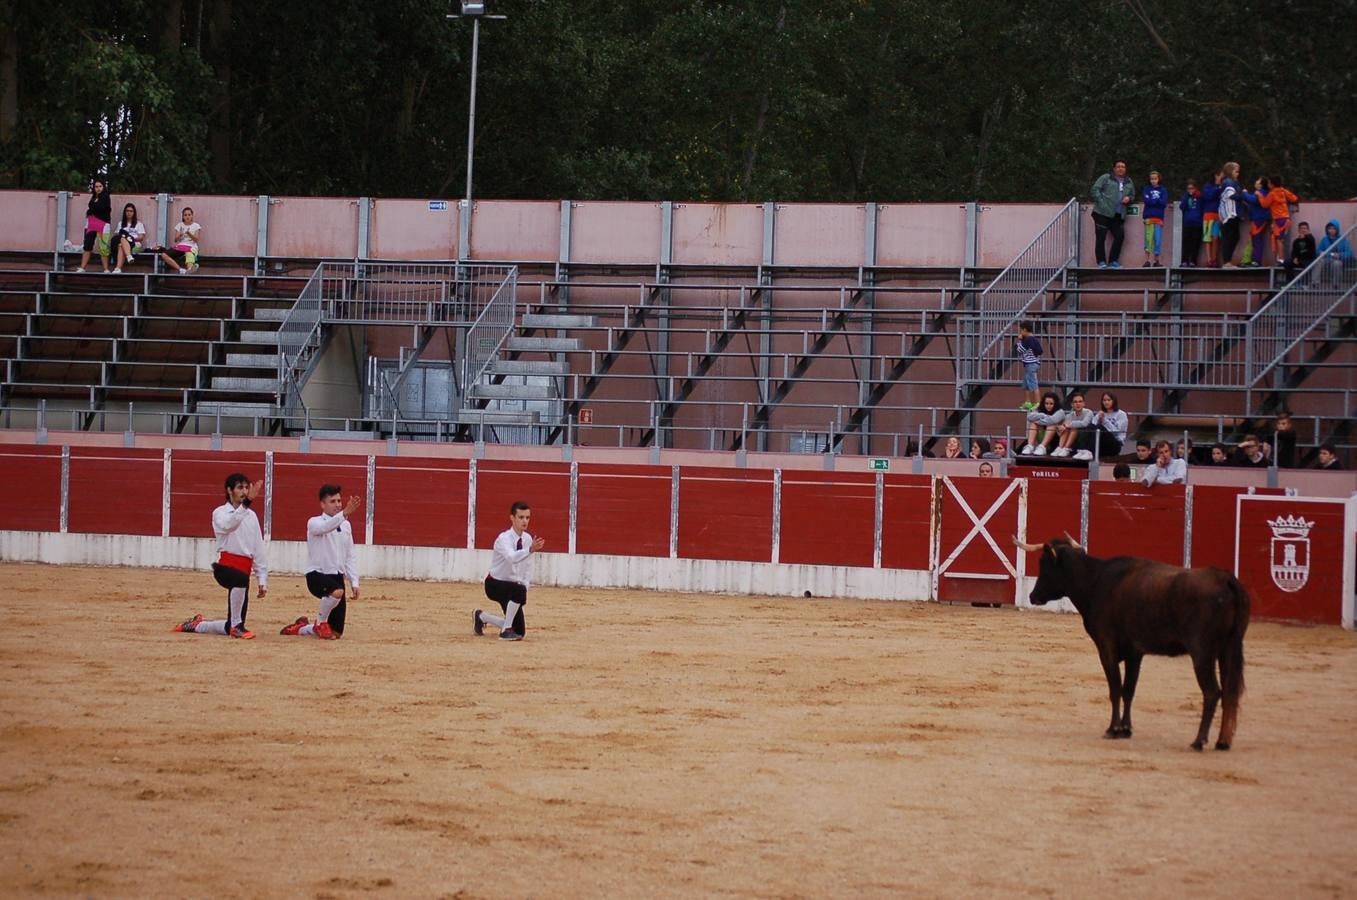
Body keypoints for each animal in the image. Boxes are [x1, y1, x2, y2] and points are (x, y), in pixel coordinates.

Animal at [1020, 537, 1248, 749]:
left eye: (1044, 565)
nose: (1032, 596)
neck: (1095, 581)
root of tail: (1225, 578)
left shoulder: (1106, 647)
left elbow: (1115, 688)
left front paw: (1113, 729)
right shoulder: (1135, 653)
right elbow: (1128, 690)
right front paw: (1125, 729)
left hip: (1202, 652)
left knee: (1212, 692)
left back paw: (1199, 741)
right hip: (1229, 649)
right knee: (1230, 691)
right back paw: (1223, 741)